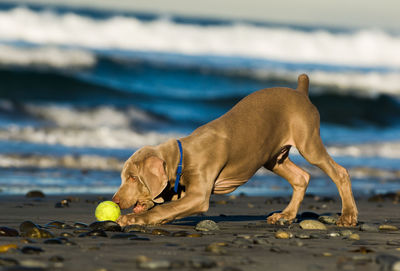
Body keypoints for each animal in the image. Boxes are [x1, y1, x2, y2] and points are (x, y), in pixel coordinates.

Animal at [113, 74, 360, 227]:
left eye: (133, 178)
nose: (115, 201)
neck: (185, 155)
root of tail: (300, 91)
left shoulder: (199, 195)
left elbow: (165, 208)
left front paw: (132, 219)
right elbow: (167, 206)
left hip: (308, 142)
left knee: (339, 172)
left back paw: (348, 216)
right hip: (273, 157)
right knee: (301, 177)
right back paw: (286, 215)